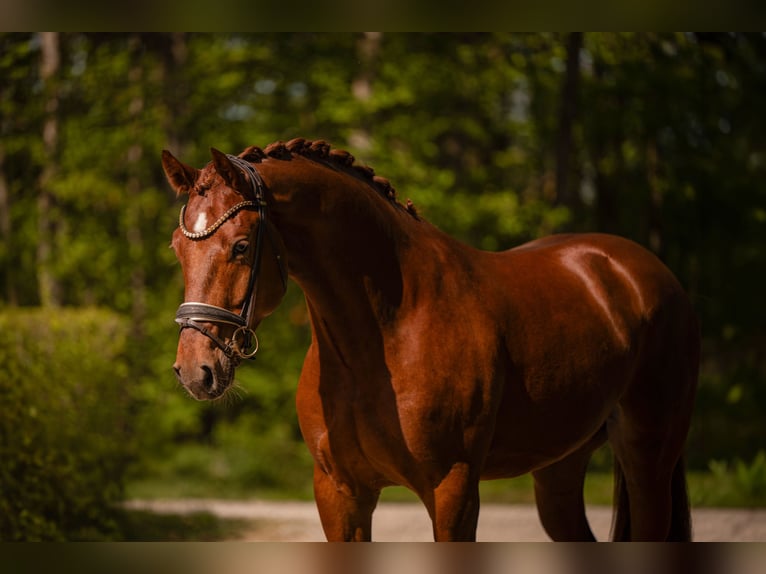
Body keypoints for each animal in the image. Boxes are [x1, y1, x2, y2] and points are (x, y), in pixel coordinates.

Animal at [163, 138, 699, 541]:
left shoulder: (452, 489)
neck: (386, 333)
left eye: (241, 246)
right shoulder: (341, 494)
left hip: (648, 457)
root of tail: (644, 272)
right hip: (559, 471)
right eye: (176, 249)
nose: (195, 370)